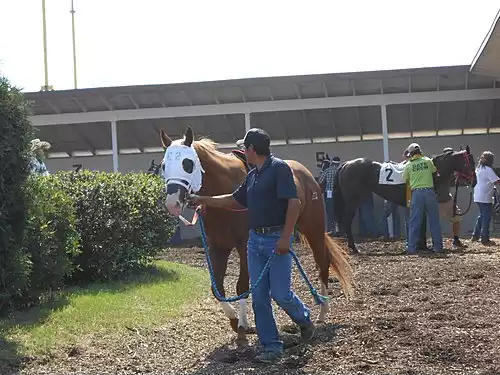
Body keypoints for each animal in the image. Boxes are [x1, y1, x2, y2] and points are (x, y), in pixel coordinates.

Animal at [334, 147, 474, 253]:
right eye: (470, 162)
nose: (474, 181)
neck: (435, 171)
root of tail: (346, 164)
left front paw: (421, 246)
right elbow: (421, 224)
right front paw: (421, 246)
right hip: (352, 200)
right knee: (347, 220)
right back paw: (354, 247)